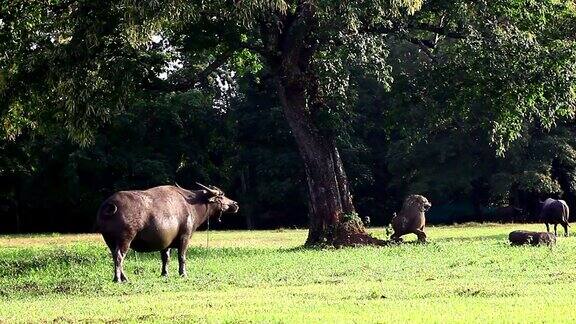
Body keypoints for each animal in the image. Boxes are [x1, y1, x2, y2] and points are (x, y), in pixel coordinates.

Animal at [97, 184, 238, 282]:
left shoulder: (166, 243)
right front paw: (183, 273)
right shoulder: (185, 237)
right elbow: (182, 257)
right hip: (125, 239)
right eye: (221, 196)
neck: (191, 206)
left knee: (115, 256)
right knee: (119, 256)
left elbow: (166, 258)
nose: (235, 204)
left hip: (109, 241)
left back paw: (123, 278)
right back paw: (119, 279)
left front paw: (164, 273)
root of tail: (110, 205)